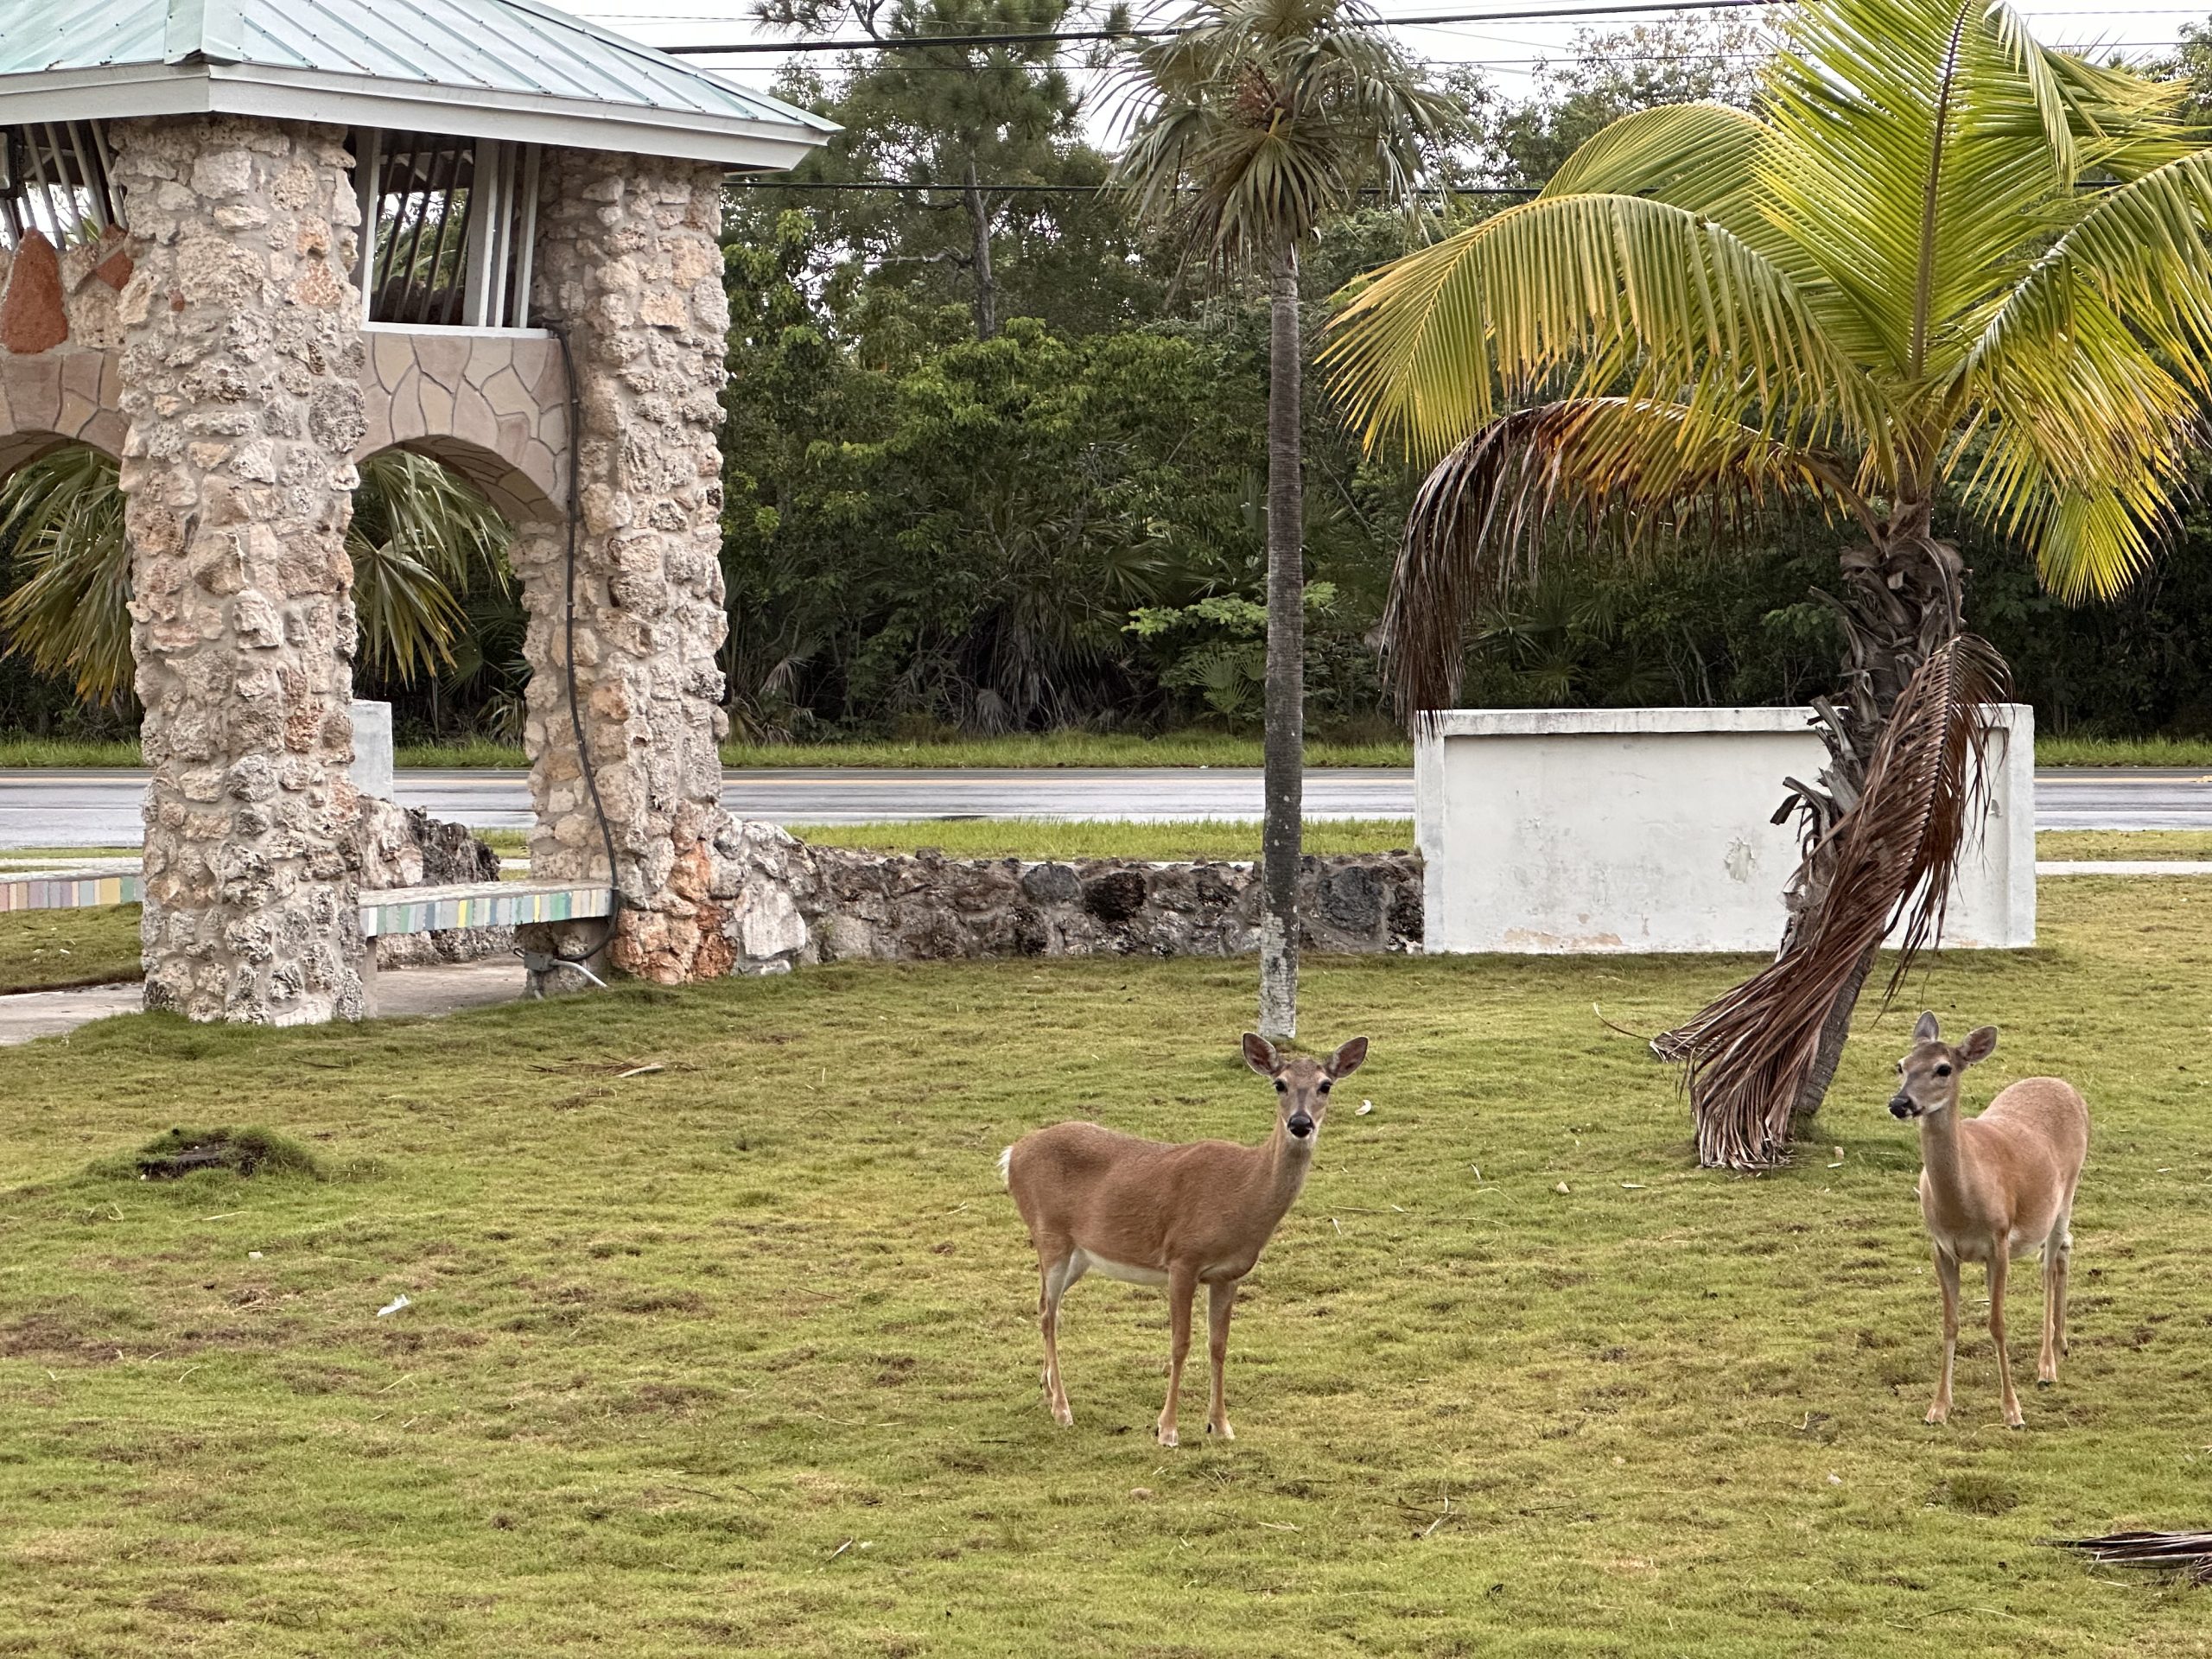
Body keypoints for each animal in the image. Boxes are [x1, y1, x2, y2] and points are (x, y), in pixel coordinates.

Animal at [999, 1033, 1368, 1446]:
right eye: (1279, 1084)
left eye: (1326, 1085)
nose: (1300, 1123)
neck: (1242, 1194)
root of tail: (1011, 1154)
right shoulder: (1182, 1258)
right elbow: (1180, 1343)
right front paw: (1167, 1429)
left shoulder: (1229, 1274)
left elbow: (1218, 1345)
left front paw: (1221, 1425)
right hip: (1049, 1232)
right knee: (1049, 1314)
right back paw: (1063, 1410)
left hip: (1081, 1252)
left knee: (1045, 1305)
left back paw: (1047, 1391)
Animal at [1889, 1012, 2090, 1429]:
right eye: (1901, 1065)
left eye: (1944, 1068)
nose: (1900, 1103)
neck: (1962, 1205)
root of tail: (2065, 1085)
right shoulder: (1941, 1247)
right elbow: (1950, 1322)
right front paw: (1938, 1408)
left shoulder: (1999, 1241)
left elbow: (1997, 1323)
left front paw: (2013, 1411)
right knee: (2065, 1249)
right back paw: (2061, 1343)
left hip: (2066, 1191)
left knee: (2050, 1263)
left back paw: (2046, 1367)